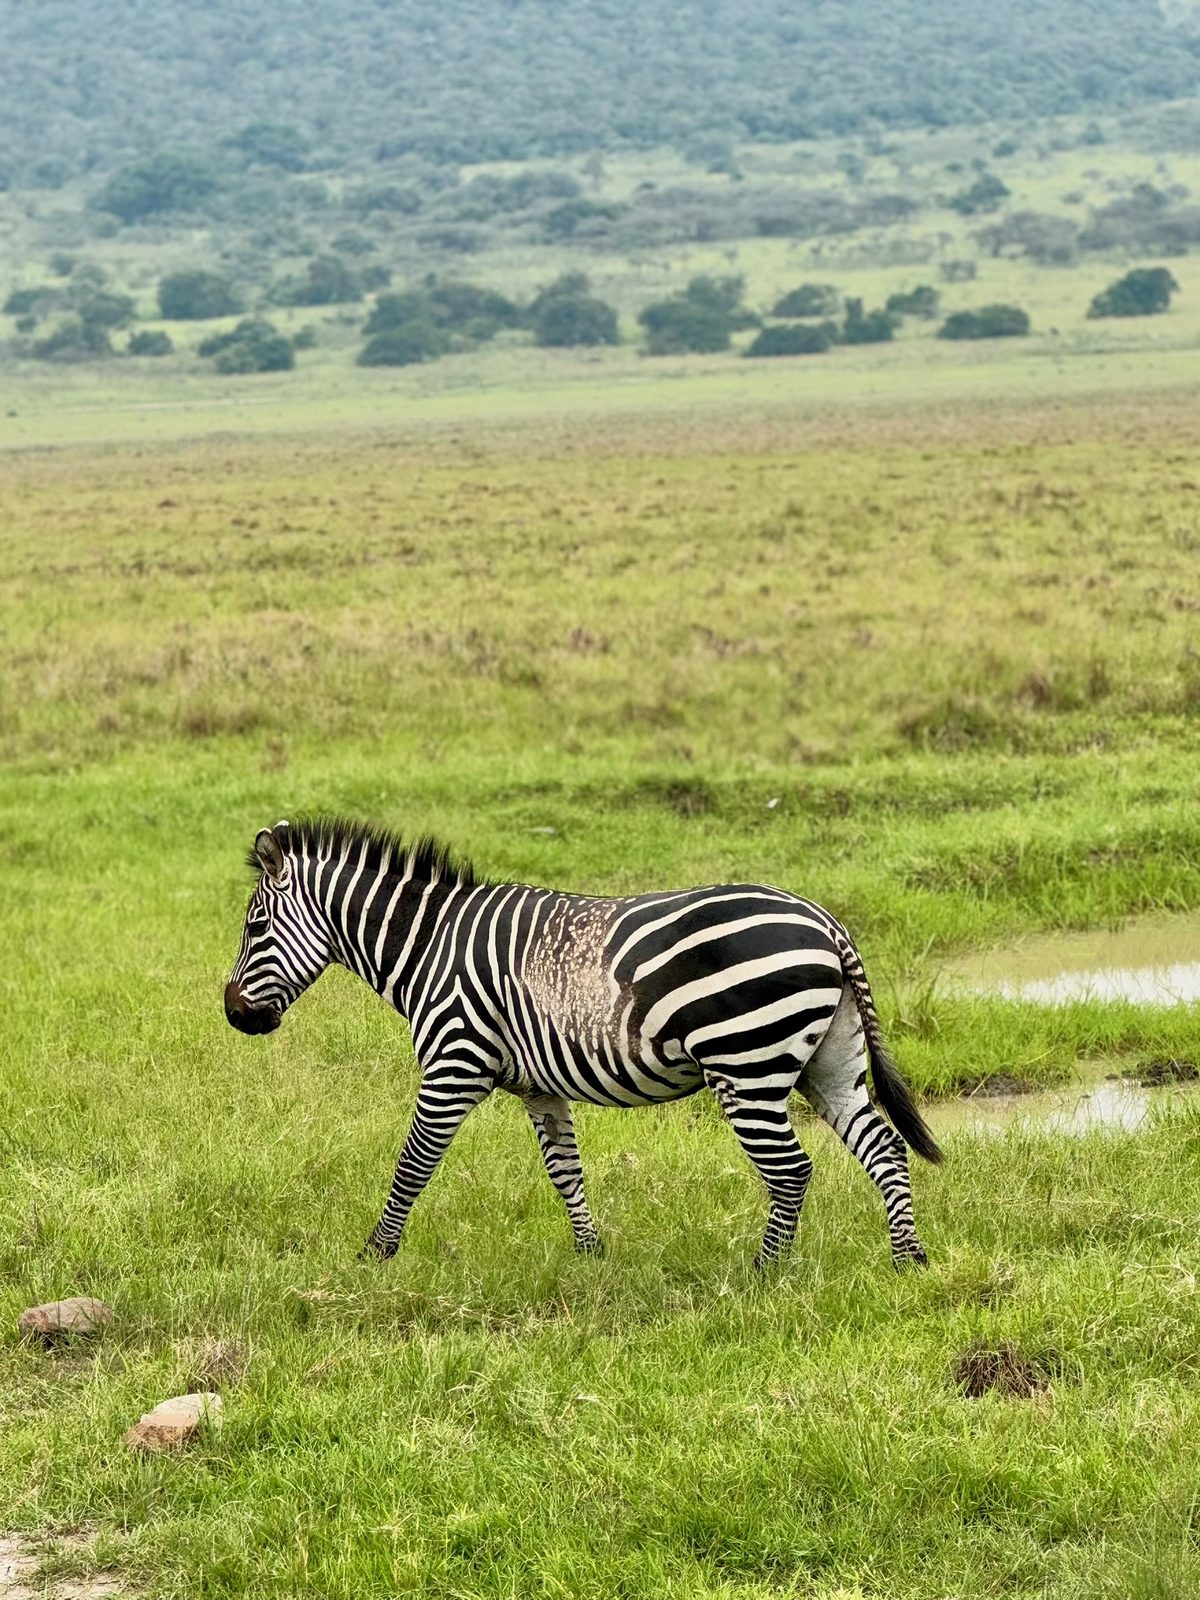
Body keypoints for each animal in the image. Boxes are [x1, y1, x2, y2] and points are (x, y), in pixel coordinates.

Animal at [224, 816, 942, 1269]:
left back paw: (765, 1271)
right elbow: (564, 1170)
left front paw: (375, 1254)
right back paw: (907, 1259)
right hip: (829, 1061)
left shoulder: (454, 1065)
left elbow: (412, 1165)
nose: (233, 1015)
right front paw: (590, 1254)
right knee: (882, 1148)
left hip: (747, 1063)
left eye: (255, 927)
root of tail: (827, 924)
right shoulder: (538, 1087)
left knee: (791, 1169)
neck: (429, 946)